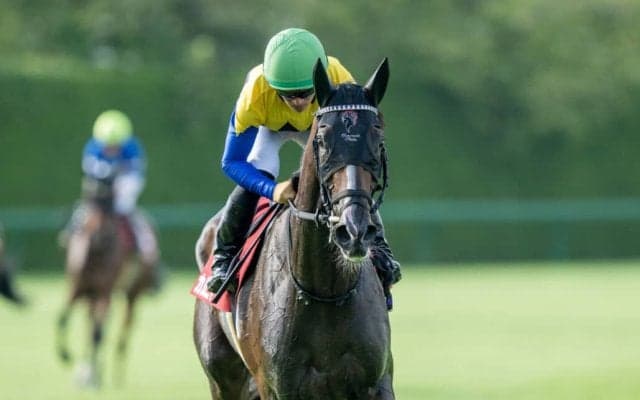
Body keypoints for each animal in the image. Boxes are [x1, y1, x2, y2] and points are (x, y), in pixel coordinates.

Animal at [56, 175, 160, 387]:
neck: (95, 253)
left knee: (124, 326)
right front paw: (66, 356)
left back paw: (116, 373)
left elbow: (97, 333)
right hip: (92, 296)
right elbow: (62, 318)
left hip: (132, 293)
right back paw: (88, 370)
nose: (97, 235)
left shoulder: (105, 291)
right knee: (91, 324)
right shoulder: (78, 288)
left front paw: (93, 376)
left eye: (109, 204)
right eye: (90, 199)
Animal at [194, 58, 394, 399]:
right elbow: (235, 162)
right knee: (257, 166)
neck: (326, 291)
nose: (354, 229)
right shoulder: (279, 387)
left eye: (378, 137)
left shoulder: (376, 383)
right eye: (322, 140)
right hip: (223, 379)